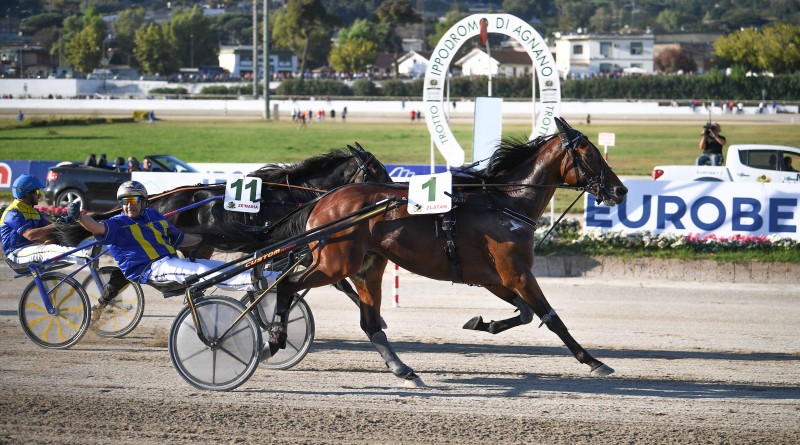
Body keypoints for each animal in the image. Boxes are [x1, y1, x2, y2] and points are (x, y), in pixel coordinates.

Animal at [266, 117, 628, 386]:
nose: (620, 190)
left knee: (369, 323)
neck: (506, 204)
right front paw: (593, 361)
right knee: (286, 285)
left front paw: (481, 323)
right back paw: (275, 336)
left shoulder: (494, 277)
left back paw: (404, 370)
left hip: (367, 266)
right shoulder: (517, 273)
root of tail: (322, 200)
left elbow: (525, 313)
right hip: (335, 263)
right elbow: (552, 318)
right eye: (591, 154)